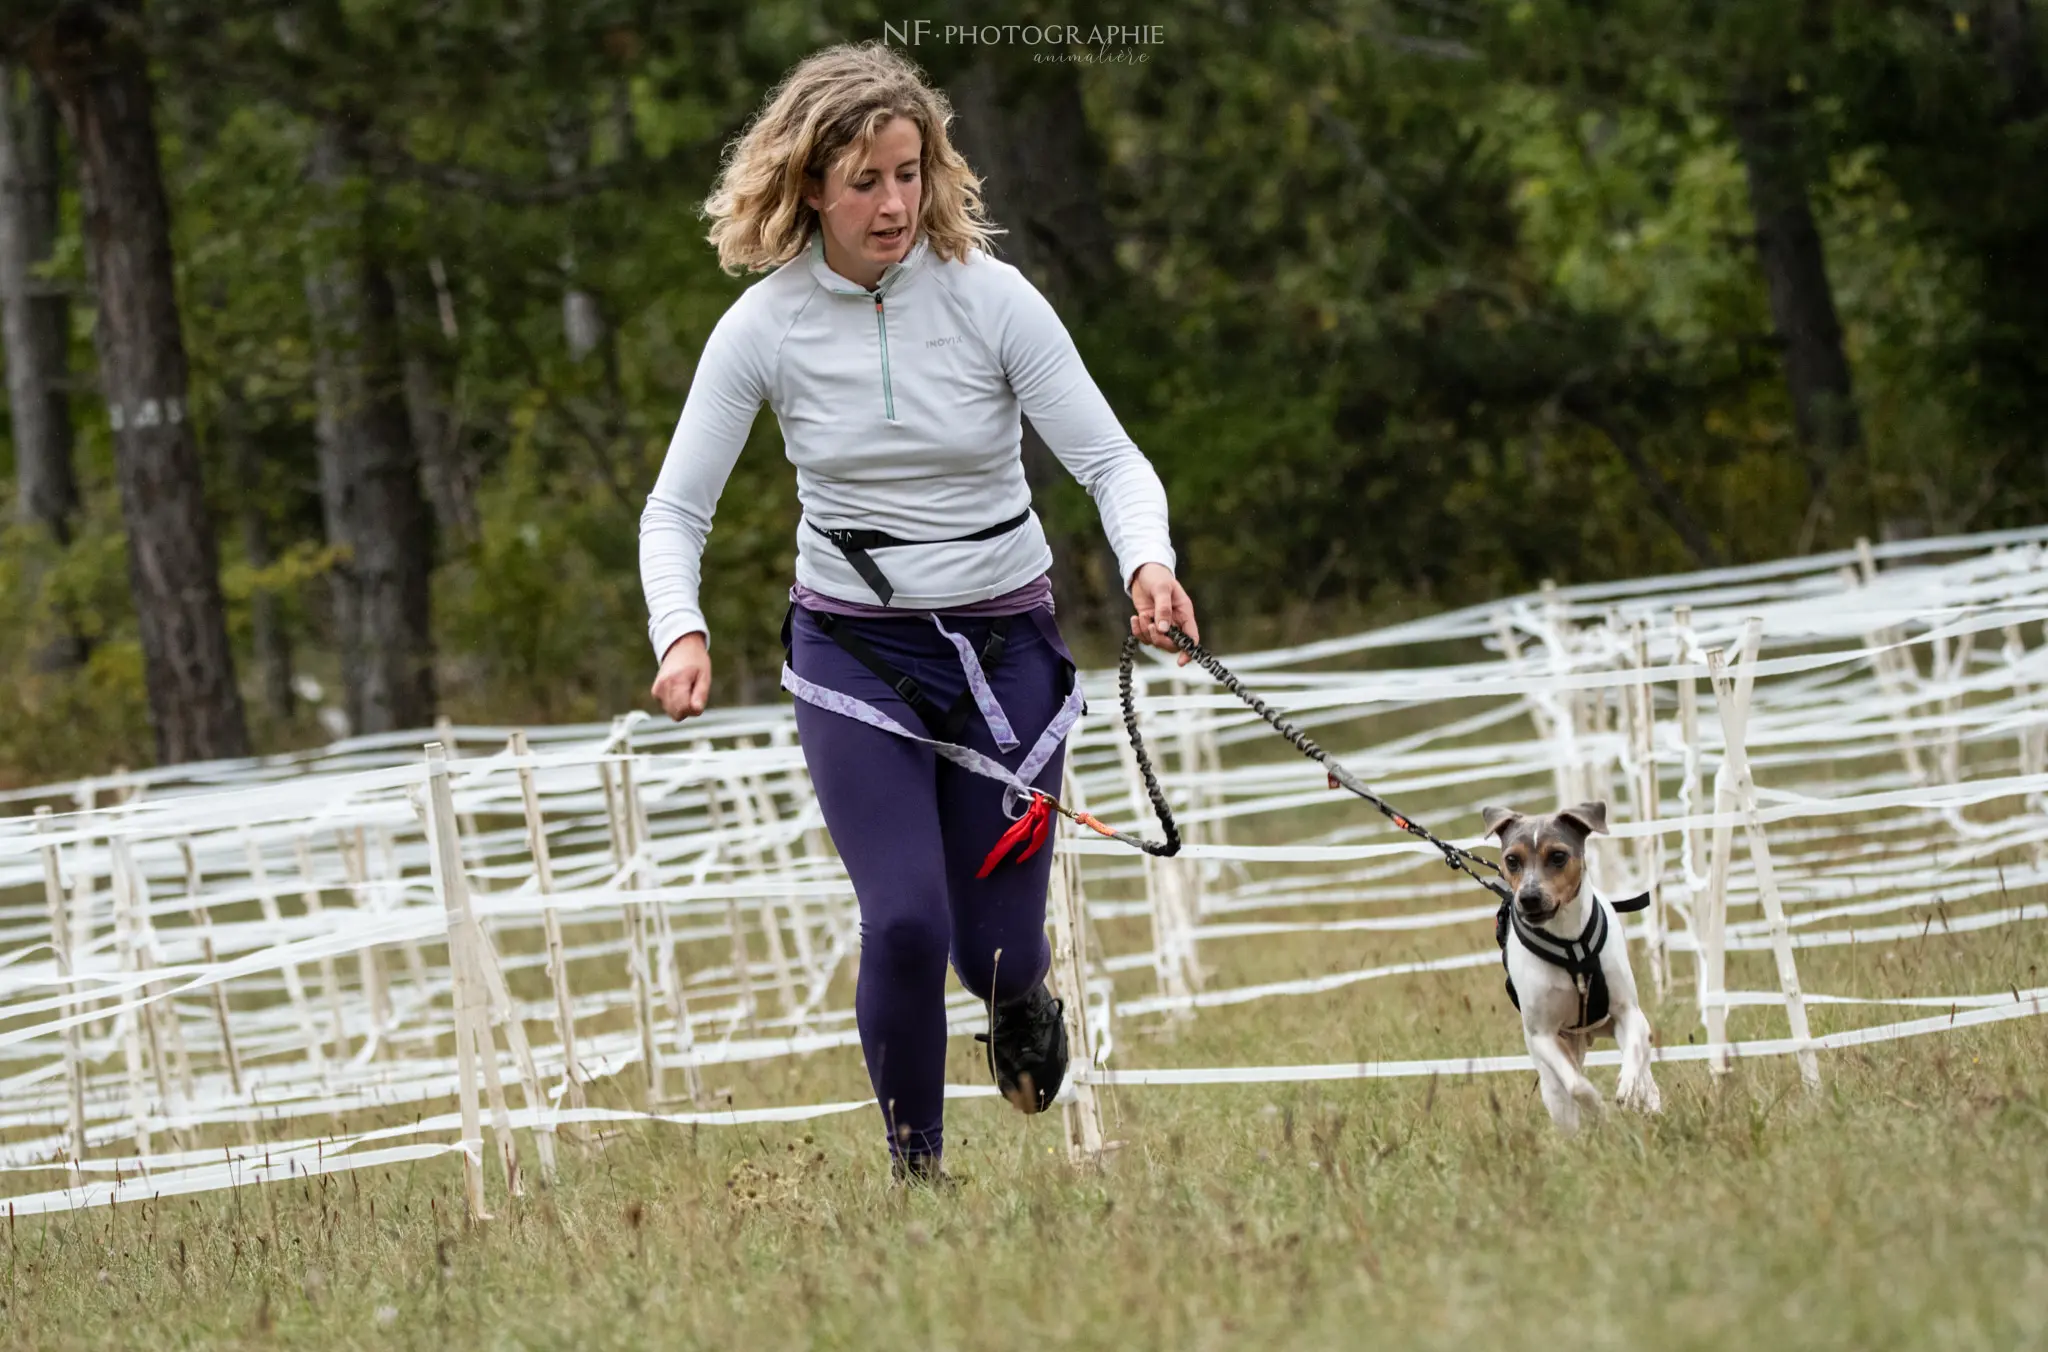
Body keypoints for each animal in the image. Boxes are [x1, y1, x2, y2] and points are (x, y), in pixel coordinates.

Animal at [1490, 803, 1662, 1130]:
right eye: (1512, 860)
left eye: (1558, 856)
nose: (1529, 898)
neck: (1571, 943)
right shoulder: (1543, 1035)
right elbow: (1576, 1085)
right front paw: (1598, 1106)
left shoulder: (1627, 1012)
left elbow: (1635, 1051)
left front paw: (1629, 1088)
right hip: (1552, 1073)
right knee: (1562, 1095)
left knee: (1644, 1058)